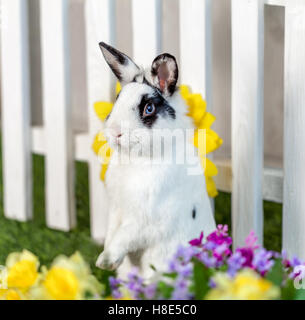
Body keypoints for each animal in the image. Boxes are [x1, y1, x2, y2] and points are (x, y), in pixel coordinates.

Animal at [96, 42, 215, 280]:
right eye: (117, 100)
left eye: (148, 109)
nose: (114, 132)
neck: (138, 158)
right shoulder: (116, 209)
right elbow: (112, 232)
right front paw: (107, 259)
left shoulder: (144, 219)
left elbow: (124, 237)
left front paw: (105, 261)